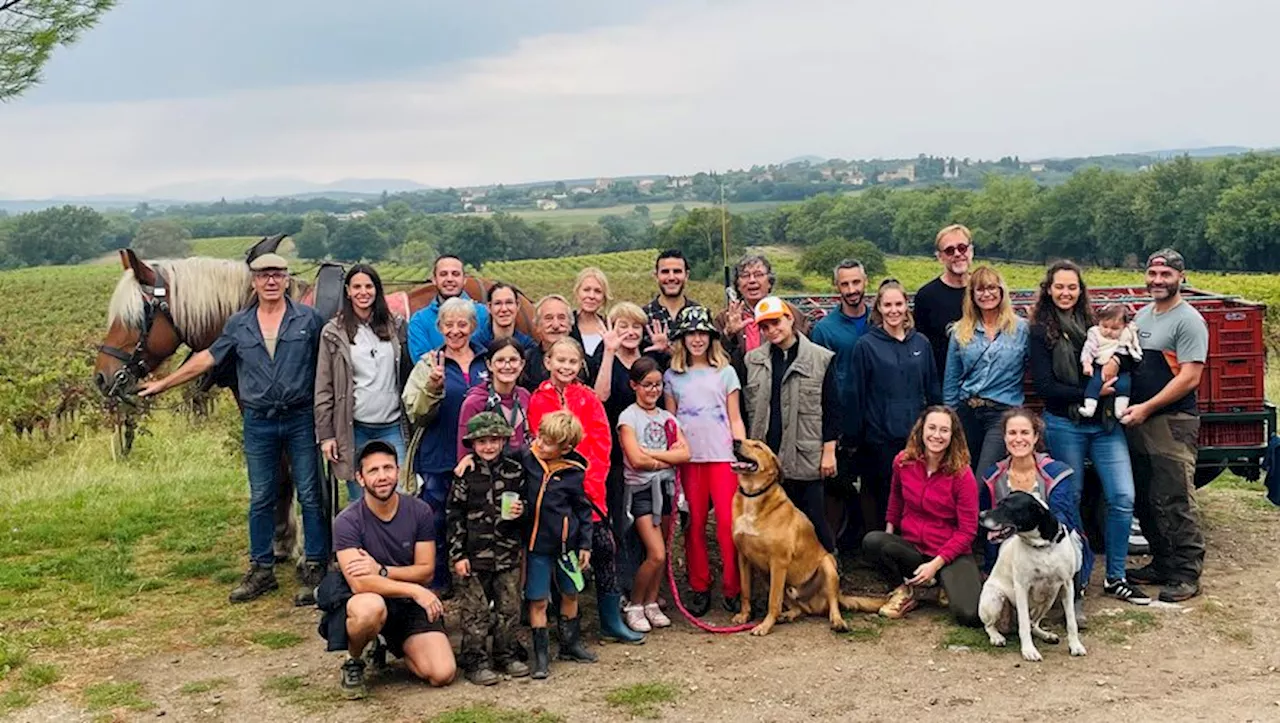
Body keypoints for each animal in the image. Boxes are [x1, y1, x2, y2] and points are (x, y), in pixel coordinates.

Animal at [93, 234, 540, 560]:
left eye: (136, 317)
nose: (102, 376)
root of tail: (521, 299)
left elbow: (288, 476)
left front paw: (292, 543)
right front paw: (286, 541)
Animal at [732, 437, 880, 634]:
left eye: (758, 446)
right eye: (745, 439)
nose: (735, 441)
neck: (752, 496)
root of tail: (812, 604)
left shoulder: (778, 562)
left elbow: (773, 601)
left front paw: (764, 625)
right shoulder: (744, 558)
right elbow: (745, 591)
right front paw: (744, 615)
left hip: (827, 565)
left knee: (833, 604)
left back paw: (837, 621)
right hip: (767, 576)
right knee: (798, 609)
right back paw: (787, 615)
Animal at [983, 491, 1085, 660]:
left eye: (1006, 506)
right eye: (998, 503)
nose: (980, 515)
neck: (1043, 547)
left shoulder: (1067, 585)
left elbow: (1071, 622)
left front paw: (1075, 646)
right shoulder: (1022, 587)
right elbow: (1024, 624)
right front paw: (1029, 650)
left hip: (1049, 599)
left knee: (1033, 623)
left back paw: (1046, 635)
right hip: (995, 598)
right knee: (989, 625)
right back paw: (997, 637)